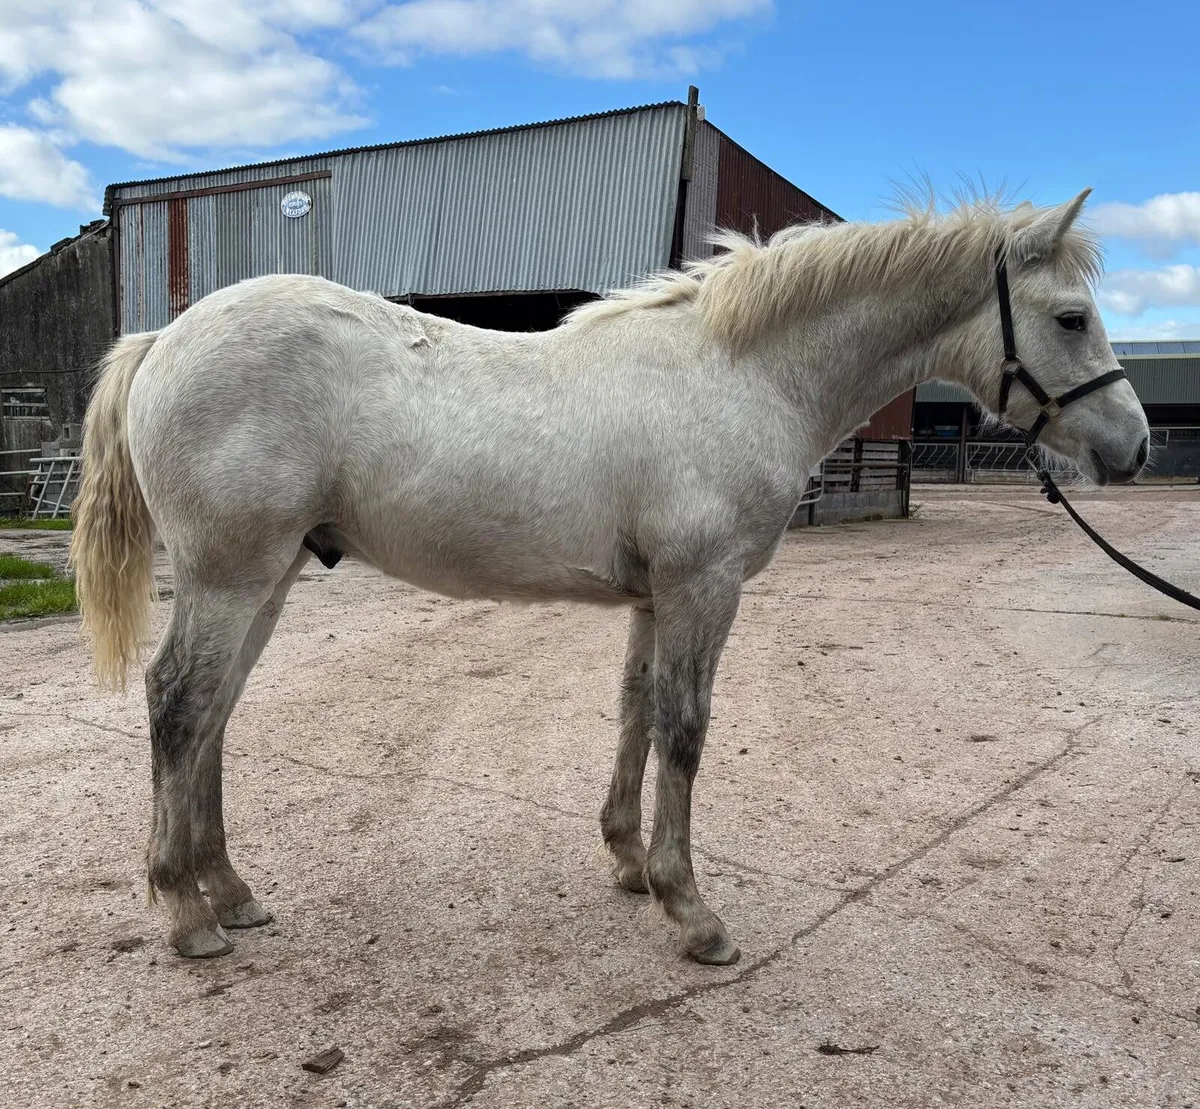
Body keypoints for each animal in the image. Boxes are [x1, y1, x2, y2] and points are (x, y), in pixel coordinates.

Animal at [69, 188, 1149, 965]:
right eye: (1070, 318)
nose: (1134, 446)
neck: (736, 373)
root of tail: (165, 337)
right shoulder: (705, 587)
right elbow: (686, 729)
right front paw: (693, 910)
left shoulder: (655, 595)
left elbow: (635, 712)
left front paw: (631, 862)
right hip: (231, 573)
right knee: (179, 703)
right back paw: (187, 914)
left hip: (269, 574)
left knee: (213, 712)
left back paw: (232, 891)